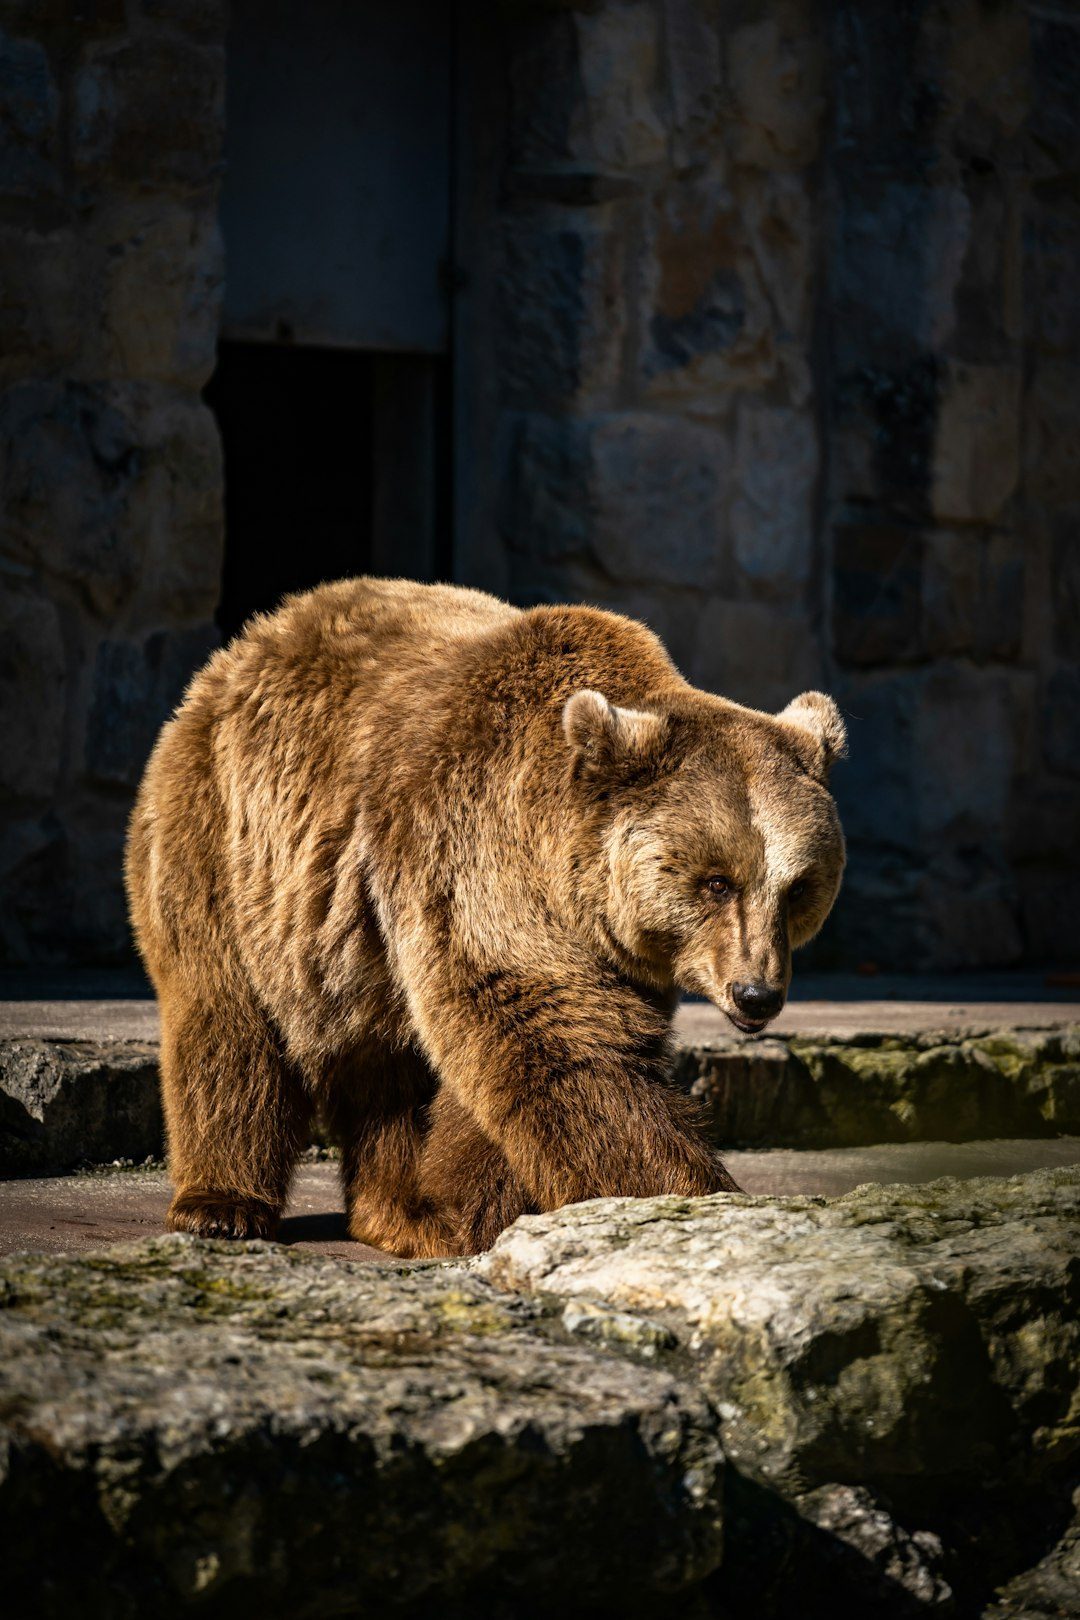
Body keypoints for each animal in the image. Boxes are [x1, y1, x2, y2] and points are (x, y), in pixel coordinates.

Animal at [126, 577, 846, 1257]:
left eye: (798, 888)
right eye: (717, 881)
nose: (755, 994)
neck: (568, 872)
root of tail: (256, 637)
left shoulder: (606, 947)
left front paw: (467, 1207)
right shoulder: (477, 848)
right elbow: (554, 1038)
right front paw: (688, 1195)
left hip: (356, 937)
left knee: (387, 1064)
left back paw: (395, 1209)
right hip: (229, 835)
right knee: (227, 1018)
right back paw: (221, 1204)